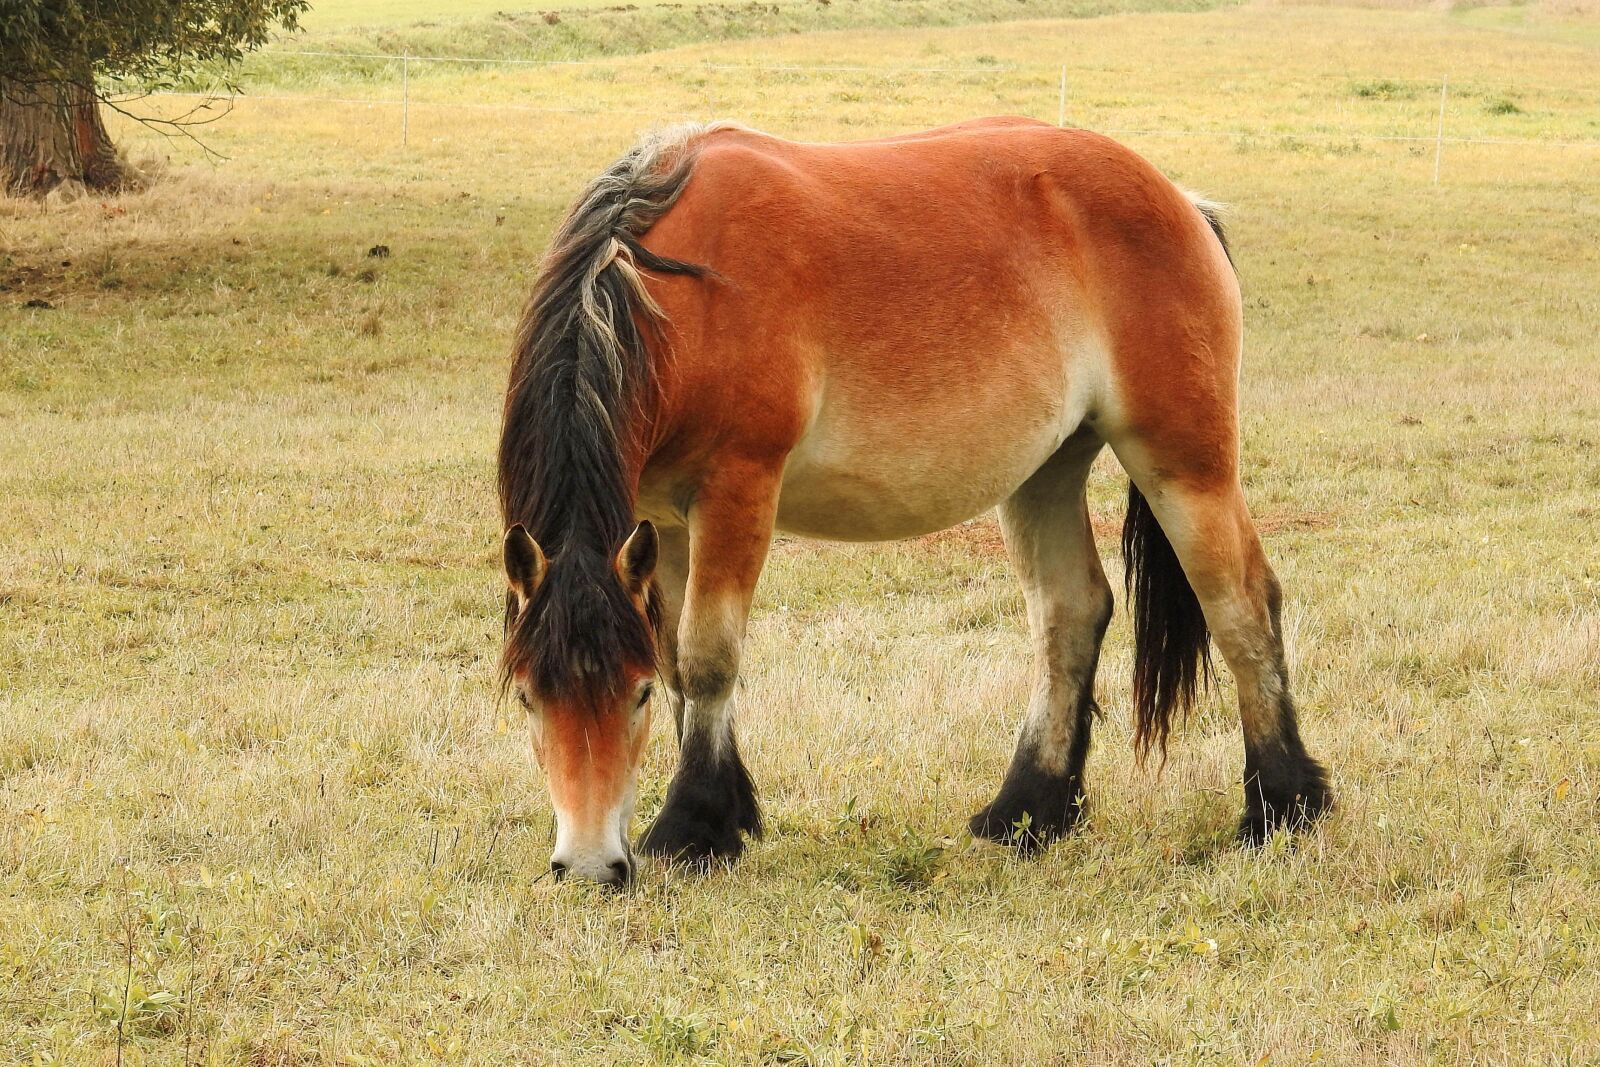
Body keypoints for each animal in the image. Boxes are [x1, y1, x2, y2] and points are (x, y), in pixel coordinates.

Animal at [497, 117, 1331, 886]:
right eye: (530, 698)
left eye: (633, 696)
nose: (588, 866)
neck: (680, 295)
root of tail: (1180, 201)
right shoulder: (661, 521)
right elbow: (677, 655)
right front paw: (721, 812)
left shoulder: (738, 490)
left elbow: (704, 659)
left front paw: (693, 826)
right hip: (1044, 472)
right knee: (1071, 613)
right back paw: (1029, 810)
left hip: (1183, 464)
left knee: (1241, 603)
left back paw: (1283, 804)